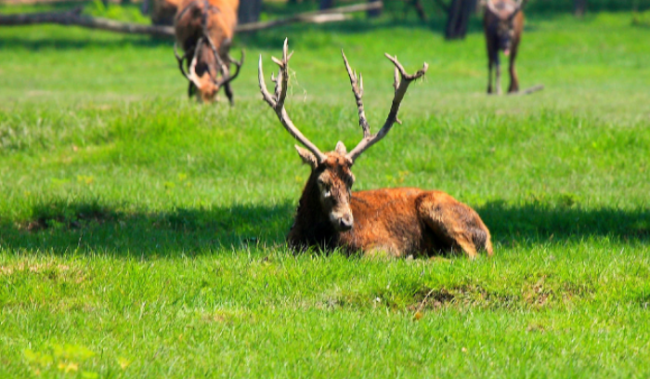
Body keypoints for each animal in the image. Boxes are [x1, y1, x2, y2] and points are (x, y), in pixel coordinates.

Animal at [258, 41, 492, 260]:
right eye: (322, 181)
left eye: (351, 181)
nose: (346, 222)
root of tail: (488, 236)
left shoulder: (384, 245)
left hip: (437, 207)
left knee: (469, 254)